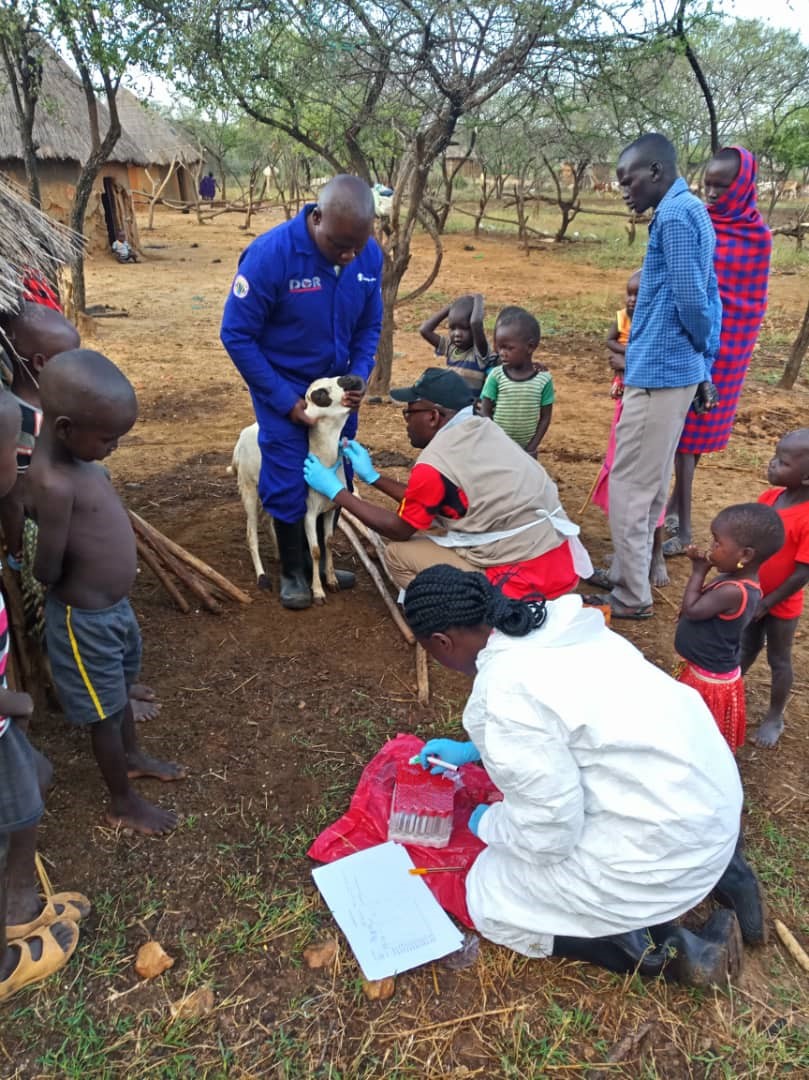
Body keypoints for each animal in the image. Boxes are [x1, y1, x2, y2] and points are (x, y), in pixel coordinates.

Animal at [226, 375, 365, 604]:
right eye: (320, 395)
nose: (350, 378)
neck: (322, 458)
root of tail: (241, 437)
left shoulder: (330, 508)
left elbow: (328, 542)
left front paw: (332, 580)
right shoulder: (309, 512)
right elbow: (316, 550)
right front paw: (317, 592)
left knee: (268, 518)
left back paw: (278, 554)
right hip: (248, 487)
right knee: (251, 532)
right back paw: (262, 577)